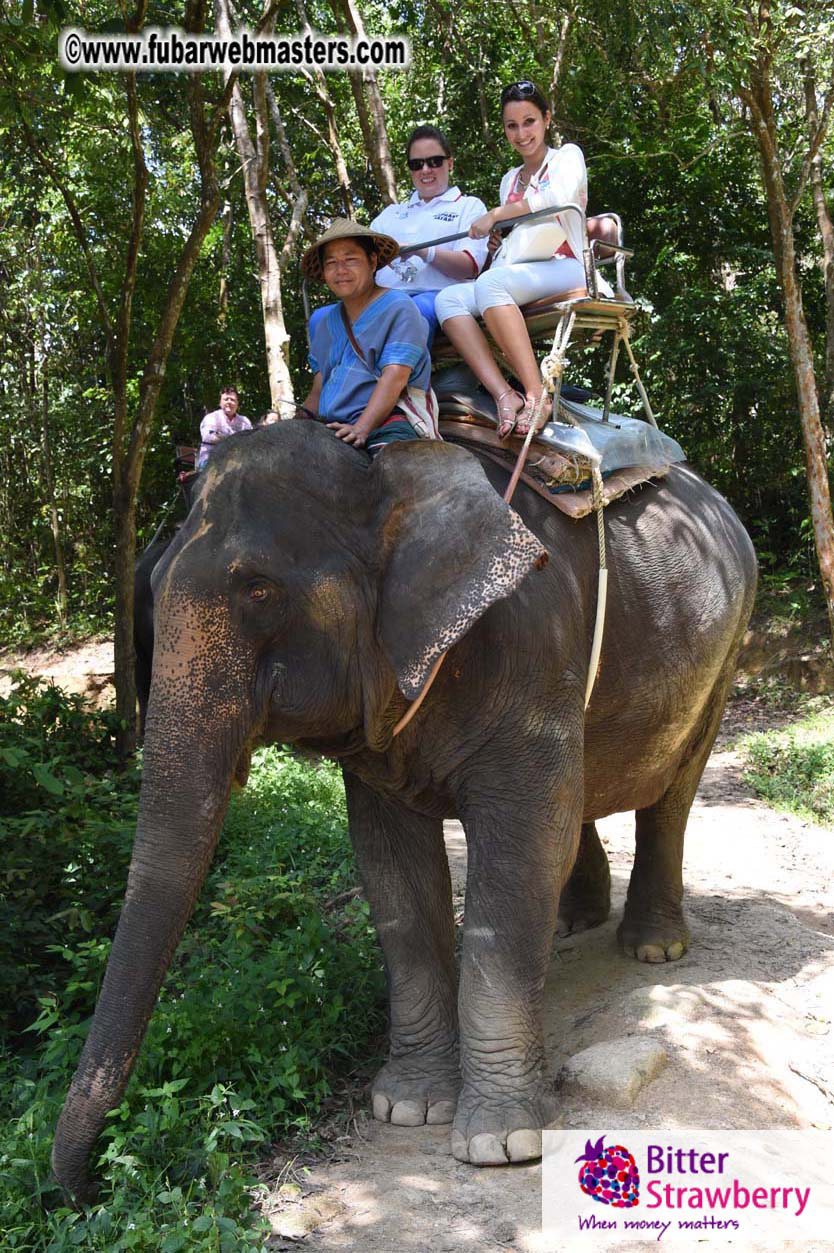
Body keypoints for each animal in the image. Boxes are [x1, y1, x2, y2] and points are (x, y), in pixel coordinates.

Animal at [52, 419, 756, 1201]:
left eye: (259, 589)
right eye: (150, 588)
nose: (82, 1190)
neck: (384, 475)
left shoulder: (531, 647)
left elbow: (520, 845)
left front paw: (499, 1142)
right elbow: (392, 864)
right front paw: (409, 1107)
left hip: (727, 648)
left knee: (673, 791)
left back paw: (652, 947)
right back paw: (574, 920)